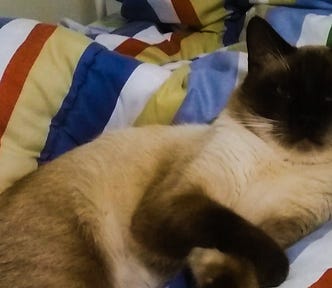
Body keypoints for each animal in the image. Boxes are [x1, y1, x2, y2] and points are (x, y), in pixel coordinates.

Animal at [0, 16, 332, 288]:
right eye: (284, 93)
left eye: (328, 98)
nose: (307, 121)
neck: (283, 162)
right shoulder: (178, 202)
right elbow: (250, 238)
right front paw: (272, 272)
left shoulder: (274, 228)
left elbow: (237, 266)